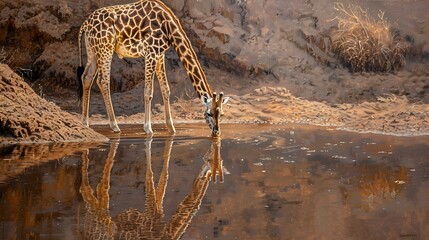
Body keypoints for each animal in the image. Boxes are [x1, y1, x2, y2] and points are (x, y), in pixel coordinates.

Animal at [77, 0, 231, 136]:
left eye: (222, 114)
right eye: (209, 113)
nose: (217, 132)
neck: (168, 27)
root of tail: (85, 24)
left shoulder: (160, 53)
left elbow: (166, 89)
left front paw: (171, 128)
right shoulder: (151, 52)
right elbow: (148, 92)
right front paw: (148, 129)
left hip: (93, 50)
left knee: (86, 77)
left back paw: (85, 123)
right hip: (105, 48)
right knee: (103, 81)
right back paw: (114, 126)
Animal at [79, 136, 224, 239]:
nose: (208, 155)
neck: (168, 233)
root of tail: (85, 233)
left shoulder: (157, 212)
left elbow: (163, 180)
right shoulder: (150, 216)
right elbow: (150, 177)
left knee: (91, 193)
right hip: (103, 223)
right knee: (98, 190)